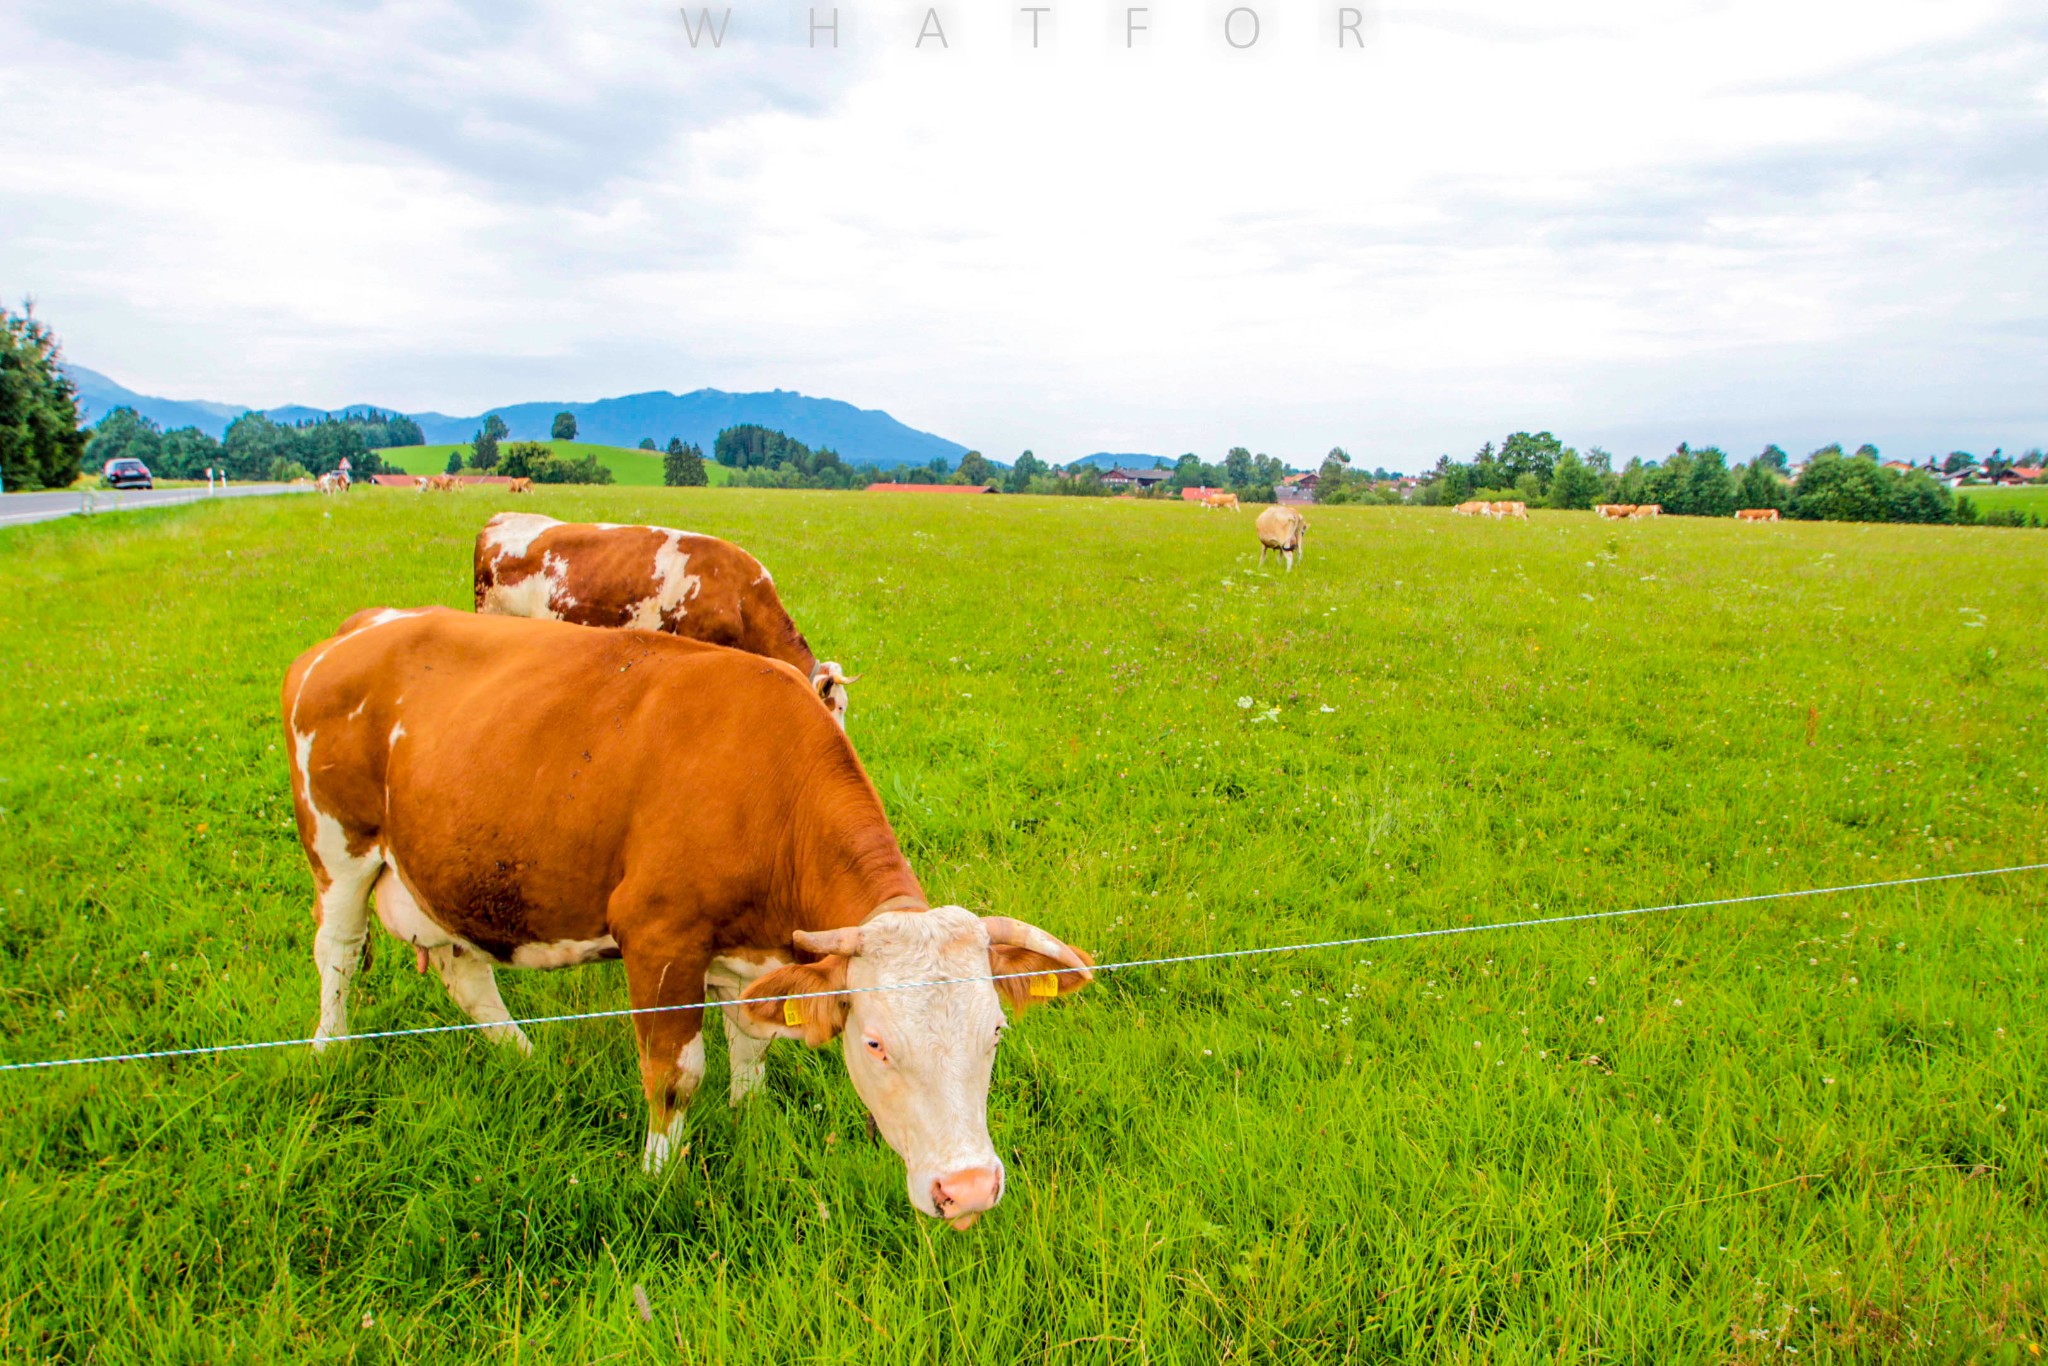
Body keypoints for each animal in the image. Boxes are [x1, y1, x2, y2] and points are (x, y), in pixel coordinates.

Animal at [284, 610, 1105, 1228]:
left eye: (994, 1033)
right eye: (874, 1043)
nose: (967, 1190)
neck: (767, 784)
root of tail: (362, 627)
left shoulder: (755, 952)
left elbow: (751, 1040)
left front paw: (751, 1115)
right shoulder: (659, 938)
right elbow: (675, 1073)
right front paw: (659, 1174)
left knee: (467, 973)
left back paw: (524, 1057)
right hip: (340, 846)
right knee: (338, 951)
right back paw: (329, 1050)